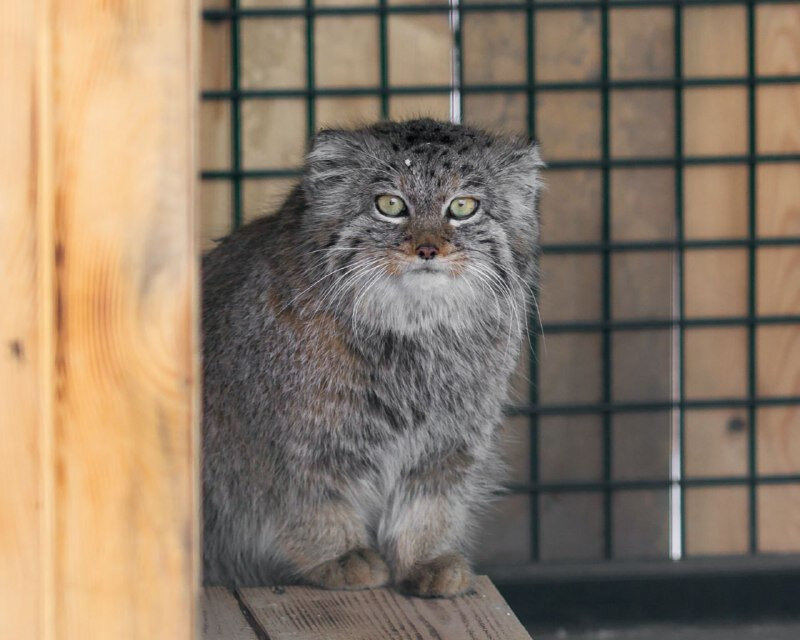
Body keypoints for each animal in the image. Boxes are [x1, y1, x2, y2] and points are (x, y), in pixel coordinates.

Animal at [203, 119, 544, 596]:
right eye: (390, 205)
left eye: (462, 206)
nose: (427, 249)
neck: (416, 338)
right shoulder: (289, 445)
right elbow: (306, 501)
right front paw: (338, 554)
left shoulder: (449, 445)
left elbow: (429, 504)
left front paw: (425, 556)